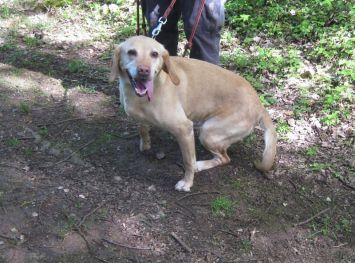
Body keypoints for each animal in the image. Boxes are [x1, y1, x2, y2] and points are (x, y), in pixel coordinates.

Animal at [110, 35, 276, 192]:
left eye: (154, 54)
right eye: (131, 52)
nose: (144, 70)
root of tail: (259, 105)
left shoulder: (184, 129)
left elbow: (188, 161)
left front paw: (187, 183)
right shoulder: (141, 119)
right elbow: (143, 129)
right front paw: (145, 144)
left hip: (208, 134)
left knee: (224, 158)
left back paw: (199, 165)